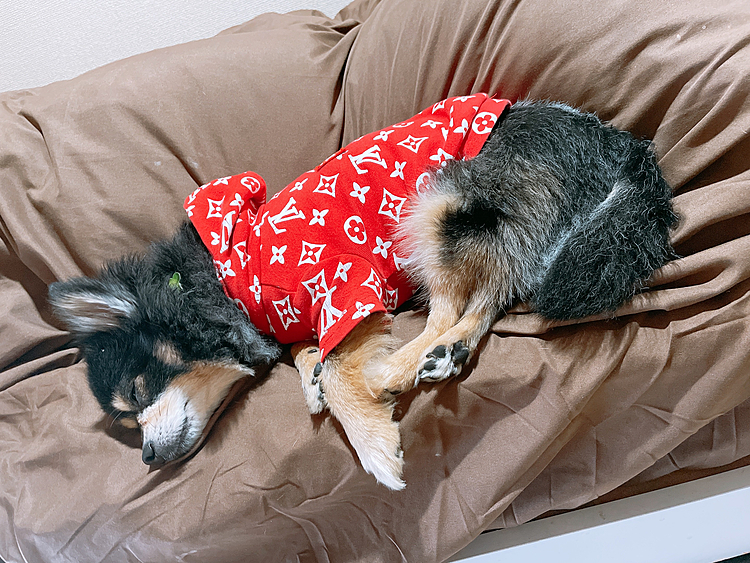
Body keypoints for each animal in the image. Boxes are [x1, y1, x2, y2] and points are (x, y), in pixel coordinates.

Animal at [50, 96, 680, 490]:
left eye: (137, 392)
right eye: (125, 421)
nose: (147, 458)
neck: (226, 280)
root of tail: (625, 148)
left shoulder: (347, 286)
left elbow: (342, 365)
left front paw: (371, 441)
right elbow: (306, 350)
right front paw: (309, 373)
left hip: (439, 202)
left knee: (462, 302)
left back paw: (409, 364)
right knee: (492, 295)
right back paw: (441, 354)